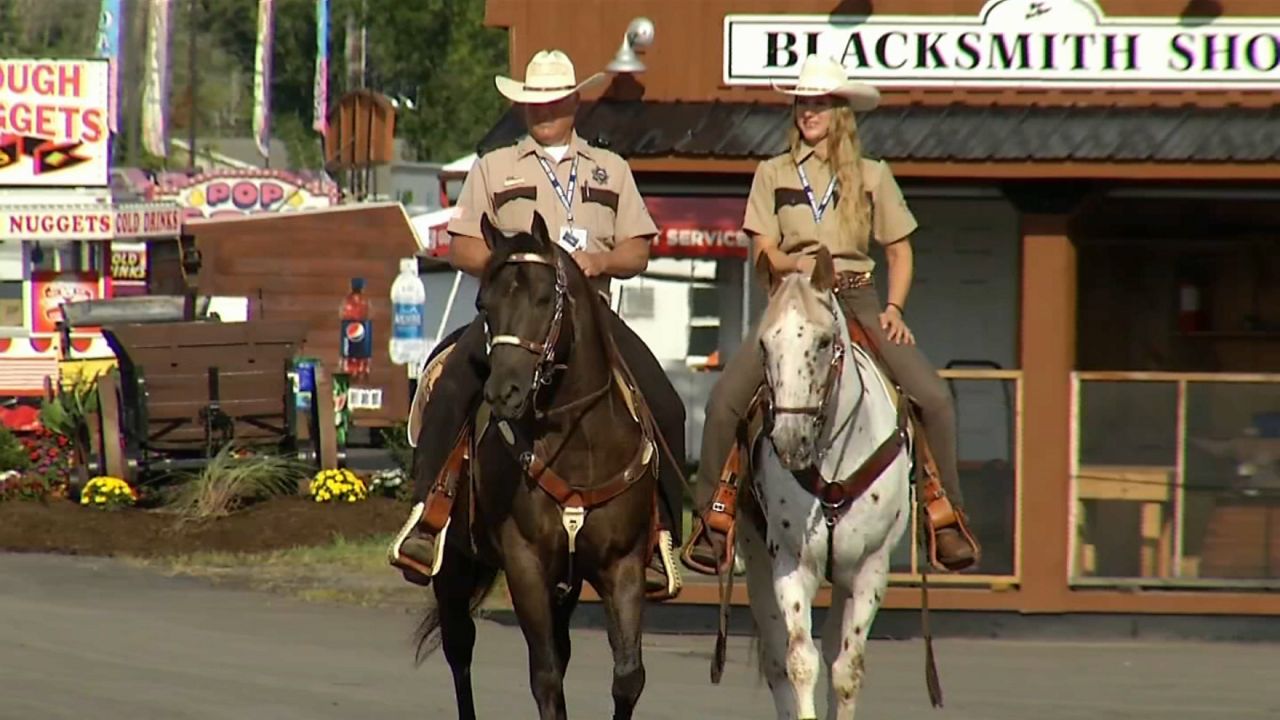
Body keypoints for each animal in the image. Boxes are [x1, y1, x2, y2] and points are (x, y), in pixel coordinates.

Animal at [414, 210, 660, 712]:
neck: (581, 445)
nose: (503, 391)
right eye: (483, 305)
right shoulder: (525, 565)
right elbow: (546, 677)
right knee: (459, 648)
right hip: (452, 566)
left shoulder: (622, 564)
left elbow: (627, 677)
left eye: (546, 299)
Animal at [737, 248, 926, 717]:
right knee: (775, 660)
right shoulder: (791, 562)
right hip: (755, 560)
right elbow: (799, 662)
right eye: (764, 344)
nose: (789, 439)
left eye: (823, 343)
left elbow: (846, 669)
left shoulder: (870, 568)